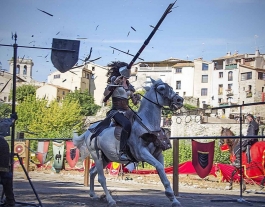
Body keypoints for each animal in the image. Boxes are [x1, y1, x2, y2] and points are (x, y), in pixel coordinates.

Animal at [72, 78, 184, 206]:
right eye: (161, 88)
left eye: (171, 87)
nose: (179, 100)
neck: (147, 124)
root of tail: (88, 131)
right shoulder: (142, 153)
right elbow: (160, 167)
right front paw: (171, 197)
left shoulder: (157, 154)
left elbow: (162, 171)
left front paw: (174, 200)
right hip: (97, 155)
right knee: (101, 178)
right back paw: (110, 200)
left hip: (106, 158)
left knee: (92, 172)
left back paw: (93, 194)